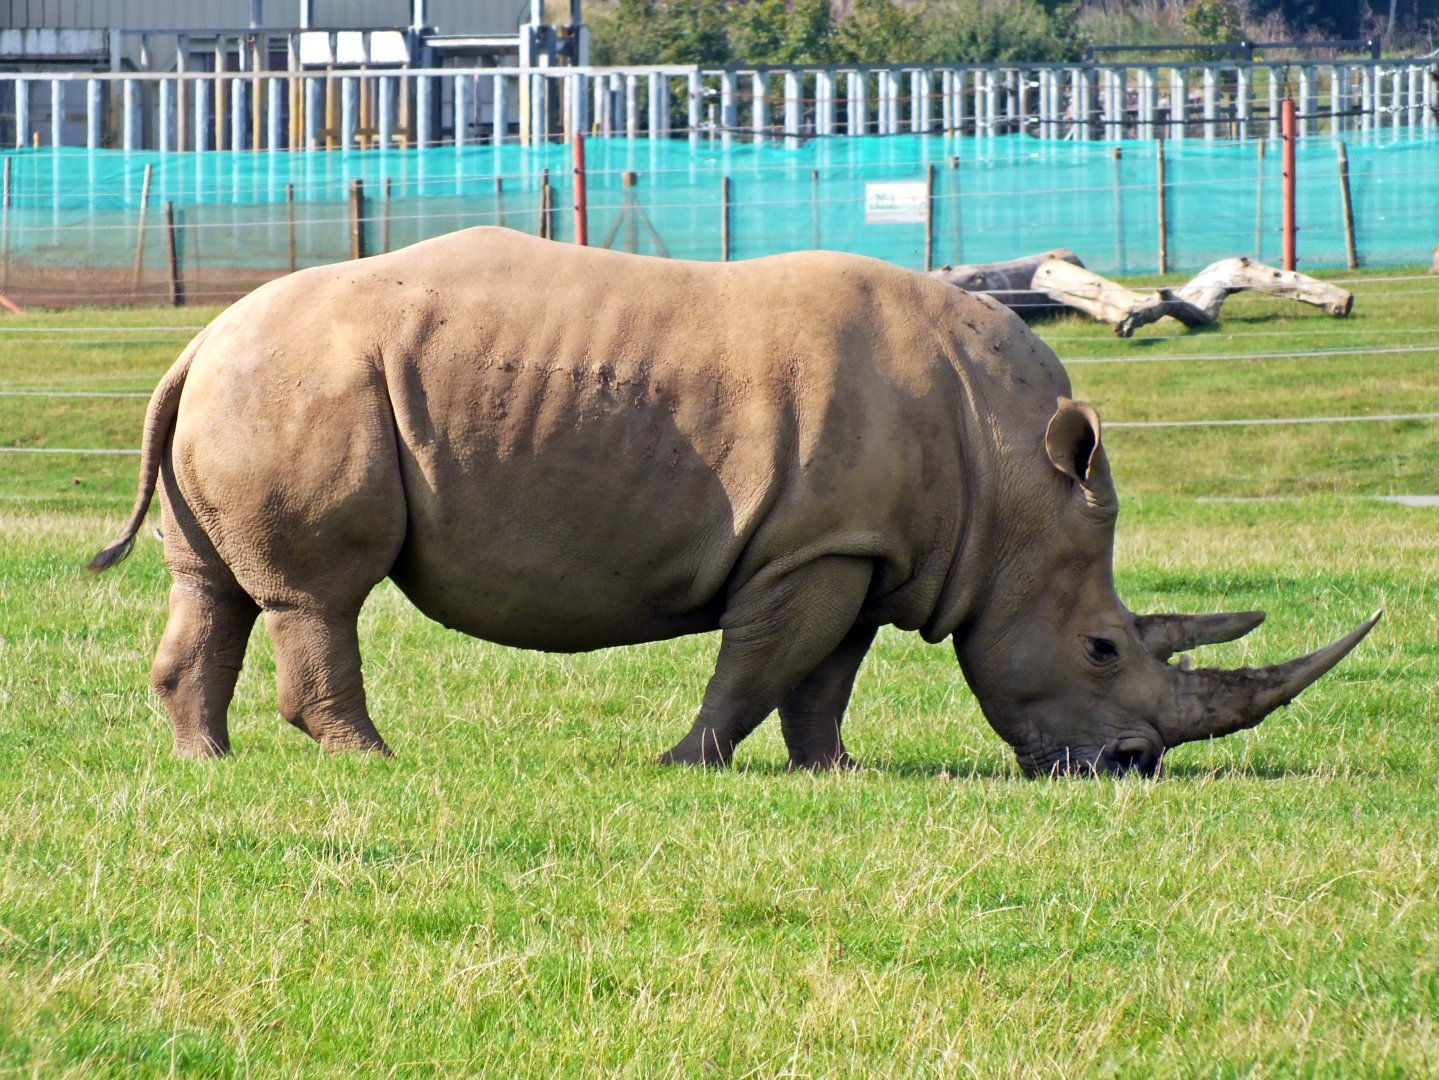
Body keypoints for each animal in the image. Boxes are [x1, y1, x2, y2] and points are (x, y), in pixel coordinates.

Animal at [90, 227, 1379, 776]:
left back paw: (206, 763)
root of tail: (196, 340)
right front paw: (685, 764)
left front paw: (832, 774)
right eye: (1104, 646)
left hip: (256, 383)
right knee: (323, 594)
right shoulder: (812, 547)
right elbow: (757, 664)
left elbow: (821, 676)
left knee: (214, 585)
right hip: (306, 381)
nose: (1129, 767)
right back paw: (373, 761)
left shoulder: (863, 550)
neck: (1012, 477)